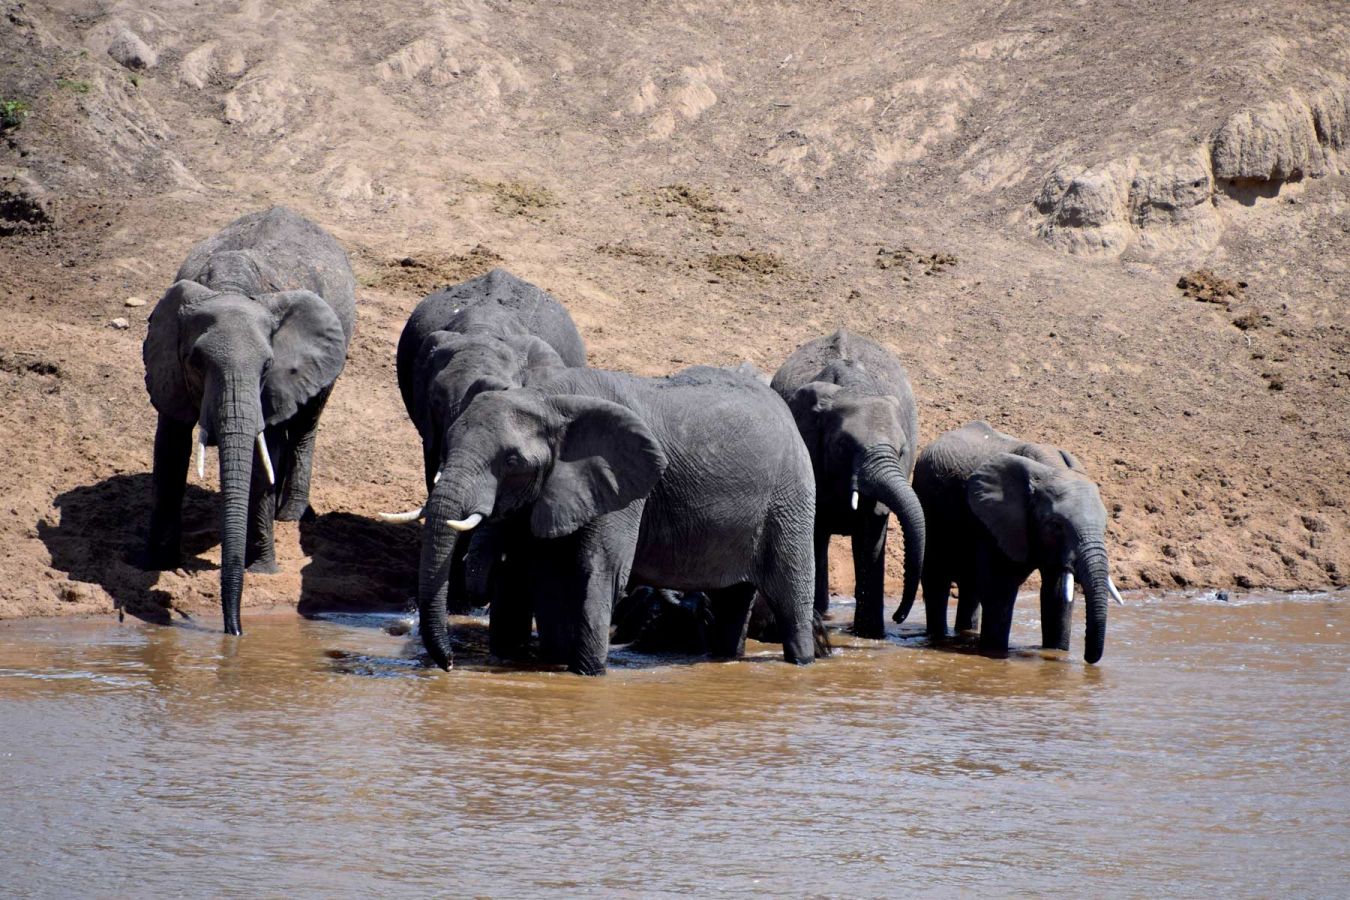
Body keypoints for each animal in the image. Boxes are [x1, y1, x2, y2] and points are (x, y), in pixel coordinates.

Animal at [142, 207, 356, 635]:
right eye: (195, 361)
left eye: (268, 365)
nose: (235, 631)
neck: (231, 287)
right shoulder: (167, 363)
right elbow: (170, 448)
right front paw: (156, 563)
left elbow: (263, 451)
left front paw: (262, 570)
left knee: (305, 425)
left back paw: (289, 515)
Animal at [417, 365, 824, 675]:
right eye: (447, 443)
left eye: (512, 461)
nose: (450, 665)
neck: (547, 398)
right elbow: (549, 574)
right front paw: (556, 665)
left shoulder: (627, 485)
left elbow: (599, 567)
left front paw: (587, 675)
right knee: (732, 601)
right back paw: (722, 660)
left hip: (790, 500)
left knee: (790, 596)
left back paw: (802, 663)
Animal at [771, 330, 926, 638]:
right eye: (843, 446)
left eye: (902, 450)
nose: (899, 616)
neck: (854, 389)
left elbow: (872, 533)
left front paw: (870, 635)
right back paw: (822, 614)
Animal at [913, 421, 1123, 663]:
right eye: (1056, 525)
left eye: (1105, 525)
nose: (1087, 659)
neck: (1051, 468)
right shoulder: (996, 523)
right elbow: (999, 589)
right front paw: (995, 655)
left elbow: (1056, 593)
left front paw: (1056, 654)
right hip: (931, 511)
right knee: (937, 580)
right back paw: (938, 639)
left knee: (969, 588)